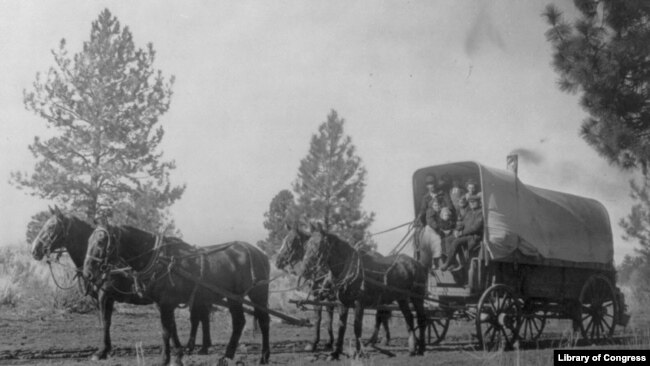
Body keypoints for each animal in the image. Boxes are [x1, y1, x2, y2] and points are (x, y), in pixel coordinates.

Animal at [29, 207, 210, 358]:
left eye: (51, 227)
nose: (34, 250)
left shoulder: (105, 296)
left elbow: (106, 322)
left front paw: (102, 351)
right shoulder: (98, 299)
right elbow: (103, 321)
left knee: (197, 317)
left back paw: (195, 346)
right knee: (200, 317)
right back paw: (200, 346)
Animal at [83, 223, 270, 366]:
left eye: (101, 242)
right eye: (88, 241)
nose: (88, 273)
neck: (158, 259)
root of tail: (259, 253)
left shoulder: (165, 303)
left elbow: (166, 330)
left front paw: (165, 359)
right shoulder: (162, 304)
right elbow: (171, 327)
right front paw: (178, 355)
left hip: (258, 294)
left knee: (263, 320)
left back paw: (263, 356)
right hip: (233, 297)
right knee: (238, 322)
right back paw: (227, 356)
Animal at [298, 223, 426, 360]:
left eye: (319, 246)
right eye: (306, 245)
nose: (303, 270)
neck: (350, 269)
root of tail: (417, 263)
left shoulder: (359, 302)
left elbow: (357, 327)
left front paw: (359, 352)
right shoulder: (342, 303)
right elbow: (341, 327)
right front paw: (335, 353)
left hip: (417, 297)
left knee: (421, 318)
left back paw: (421, 349)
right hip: (401, 298)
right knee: (409, 318)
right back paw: (412, 349)